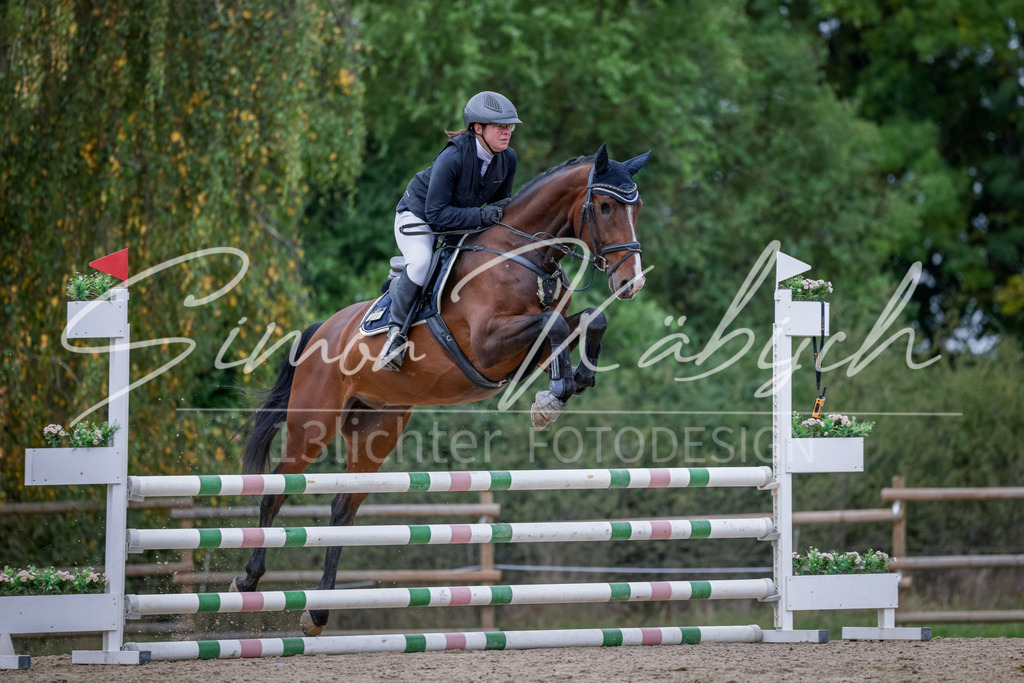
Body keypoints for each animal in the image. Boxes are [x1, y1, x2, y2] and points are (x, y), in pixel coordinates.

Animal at [232, 143, 652, 636]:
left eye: (636, 208)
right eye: (604, 206)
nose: (631, 282)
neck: (522, 255)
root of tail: (322, 329)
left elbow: (587, 319)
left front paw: (570, 384)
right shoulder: (488, 345)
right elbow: (554, 325)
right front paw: (553, 396)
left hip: (377, 430)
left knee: (343, 509)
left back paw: (317, 612)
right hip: (313, 423)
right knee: (276, 489)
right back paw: (249, 578)